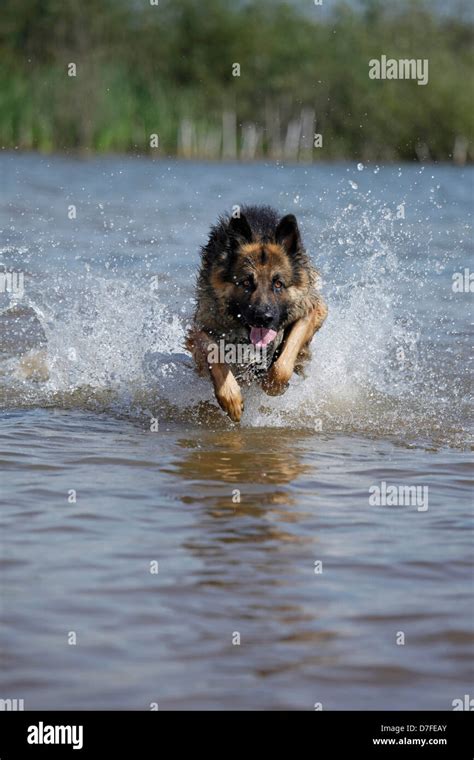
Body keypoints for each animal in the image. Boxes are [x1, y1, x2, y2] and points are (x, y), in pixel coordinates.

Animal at [185, 206, 326, 422]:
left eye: (278, 284)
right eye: (245, 283)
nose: (263, 318)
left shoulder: (311, 310)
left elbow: (284, 361)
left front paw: (273, 385)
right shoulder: (201, 328)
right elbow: (213, 353)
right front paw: (231, 398)